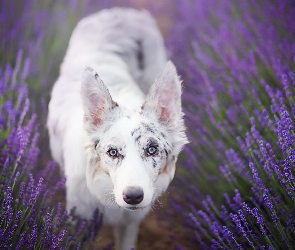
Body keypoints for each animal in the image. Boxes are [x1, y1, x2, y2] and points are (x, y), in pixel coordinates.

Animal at [47, 7, 188, 250]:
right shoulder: (78, 218)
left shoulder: (130, 222)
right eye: (112, 152)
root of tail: (122, 10)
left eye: (152, 149)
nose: (133, 196)